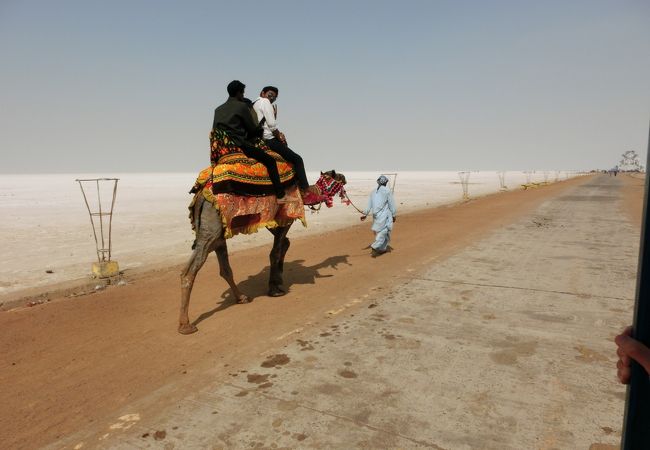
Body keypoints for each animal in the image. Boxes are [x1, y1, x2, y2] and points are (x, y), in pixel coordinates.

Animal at [177, 171, 344, 332]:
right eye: (335, 176)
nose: (344, 177)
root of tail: (200, 196)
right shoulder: (286, 215)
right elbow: (275, 251)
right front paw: (275, 289)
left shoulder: (271, 220)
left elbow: (284, 243)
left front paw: (278, 280)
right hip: (212, 228)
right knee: (189, 271)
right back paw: (186, 325)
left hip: (217, 234)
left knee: (224, 268)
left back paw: (241, 298)